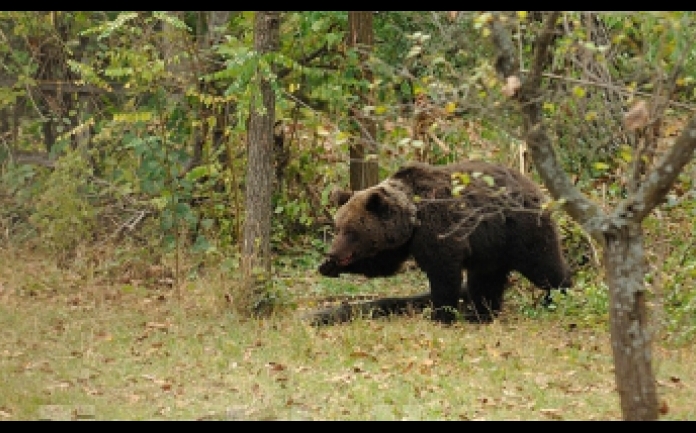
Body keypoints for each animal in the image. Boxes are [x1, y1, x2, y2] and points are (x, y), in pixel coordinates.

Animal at [318, 160, 572, 322]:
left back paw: (558, 297)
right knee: (485, 279)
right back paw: (480, 314)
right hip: (491, 248)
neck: (413, 217)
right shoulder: (402, 241)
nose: (333, 253)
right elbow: (383, 265)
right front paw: (327, 267)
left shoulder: (439, 228)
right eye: (338, 228)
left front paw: (440, 314)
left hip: (521, 230)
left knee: (544, 266)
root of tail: (535, 187)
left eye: (352, 231)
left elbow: (443, 272)